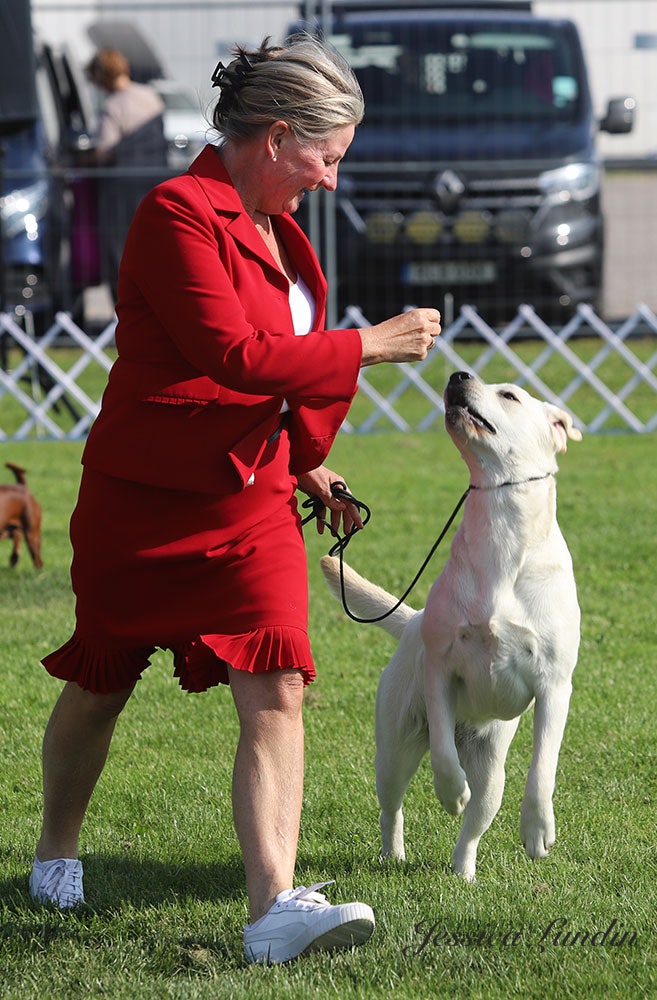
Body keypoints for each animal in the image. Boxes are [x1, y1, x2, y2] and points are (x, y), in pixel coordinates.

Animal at [320, 372, 580, 880]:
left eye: (510, 395)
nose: (459, 375)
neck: (503, 540)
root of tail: (412, 620)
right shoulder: (441, 669)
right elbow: (442, 747)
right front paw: (449, 790)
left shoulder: (556, 684)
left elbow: (544, 764)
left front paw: (538, 828)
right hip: (394, 744)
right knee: (391, 805)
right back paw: (394, 853)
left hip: (492, 770)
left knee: (476, 821)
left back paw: (463, 872)